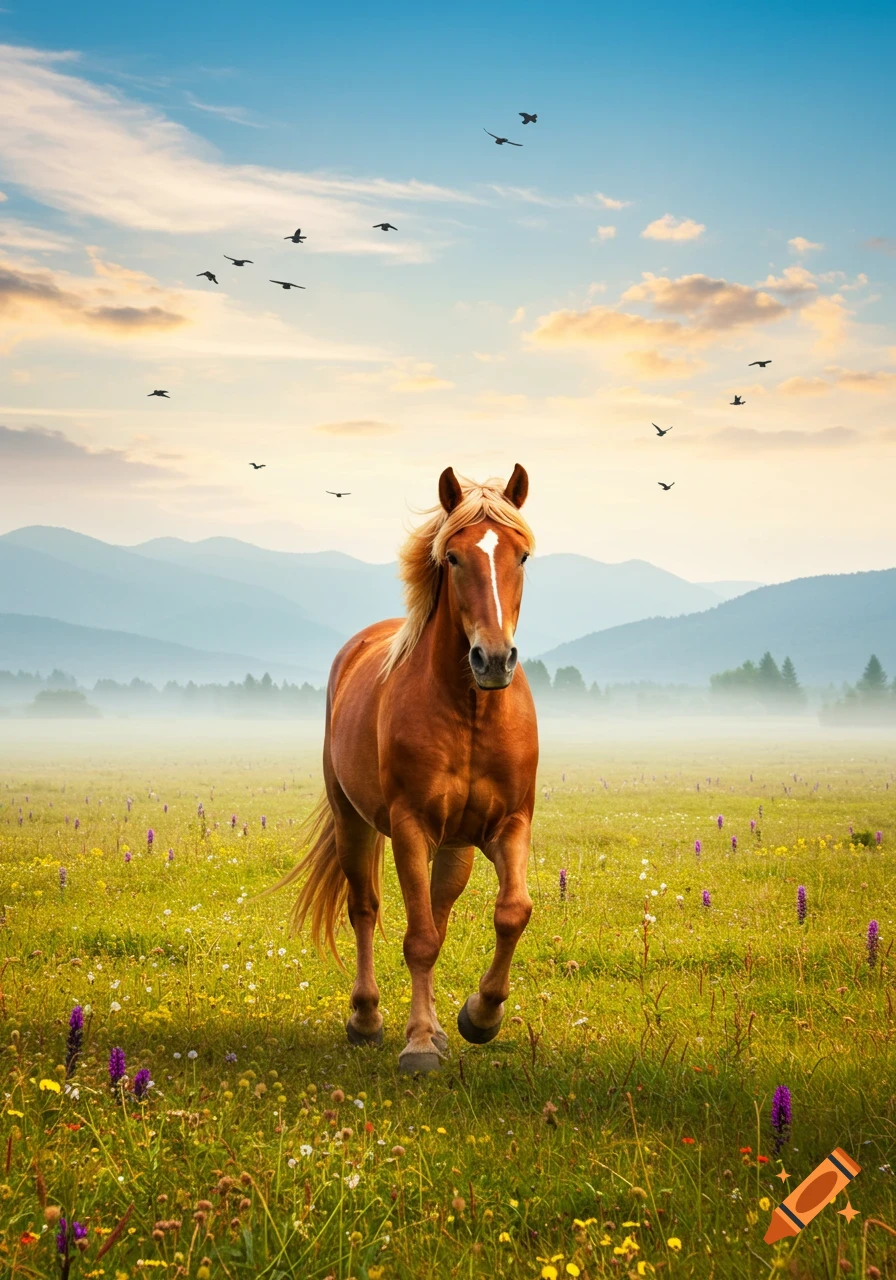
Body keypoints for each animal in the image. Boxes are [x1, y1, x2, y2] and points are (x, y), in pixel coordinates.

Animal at [274, 463, 539, 1073]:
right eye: (454, 558)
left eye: (521, 555)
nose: (494, 659)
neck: (471, 712)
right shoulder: (411, 828)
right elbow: (417, 939)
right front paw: (417, 1044)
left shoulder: (509, 824)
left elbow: (511, 911)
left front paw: (479, 1017)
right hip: (354, 821)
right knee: (365, 910)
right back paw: (367, 1018)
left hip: (456, 846)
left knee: (438, 912)